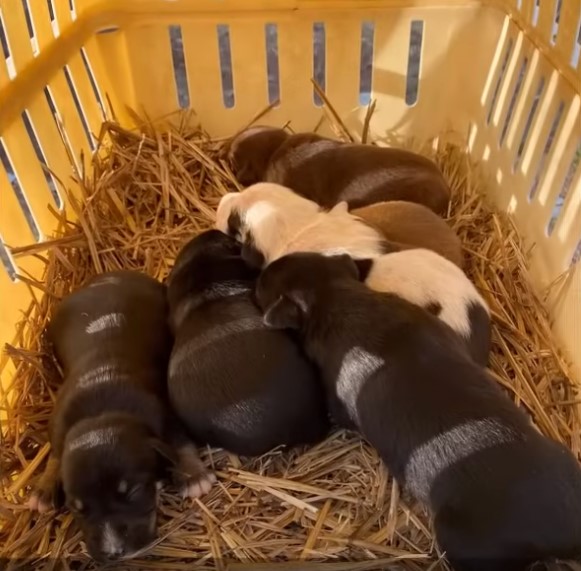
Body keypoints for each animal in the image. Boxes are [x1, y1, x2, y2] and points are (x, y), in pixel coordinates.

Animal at [28, 272, 214, 564]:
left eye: (134, 492)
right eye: (77, 508)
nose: (113, 552)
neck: (101, 411)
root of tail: (107, 277)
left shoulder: (167, 413)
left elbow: (180, 443)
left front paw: (193, 476)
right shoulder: (58, 424)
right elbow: (55, 456)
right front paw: (44, 489)